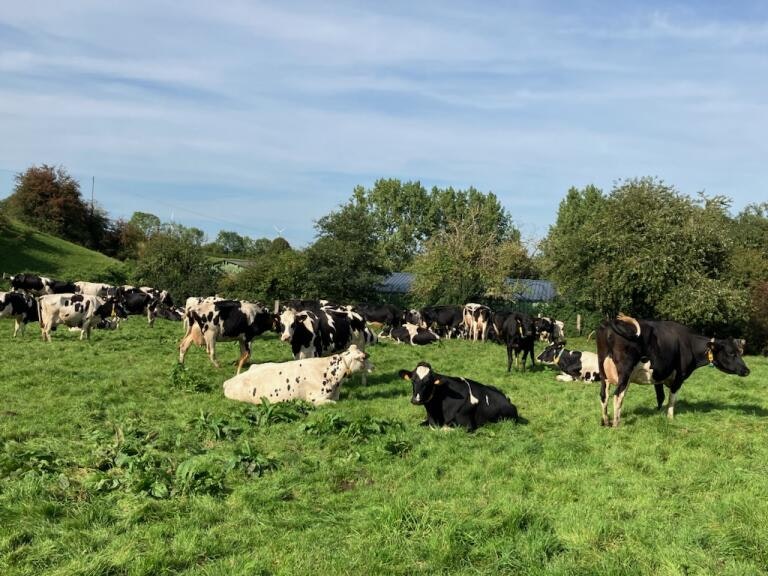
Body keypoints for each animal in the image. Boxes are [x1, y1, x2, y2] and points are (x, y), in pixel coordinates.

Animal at [592, 312, 752, 426]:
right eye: (731, 353)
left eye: (740, 352)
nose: (747, 370)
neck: (689, 343)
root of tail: (610, 322)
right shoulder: (679, 376)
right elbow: (672, 398)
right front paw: (669, 417)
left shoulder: (658, 376)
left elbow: (660, 397)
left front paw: (658, 413)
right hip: (625, 373)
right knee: (618, 395)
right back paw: (616, 423)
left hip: (603, 373)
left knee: (604, 395)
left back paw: (605, 421)